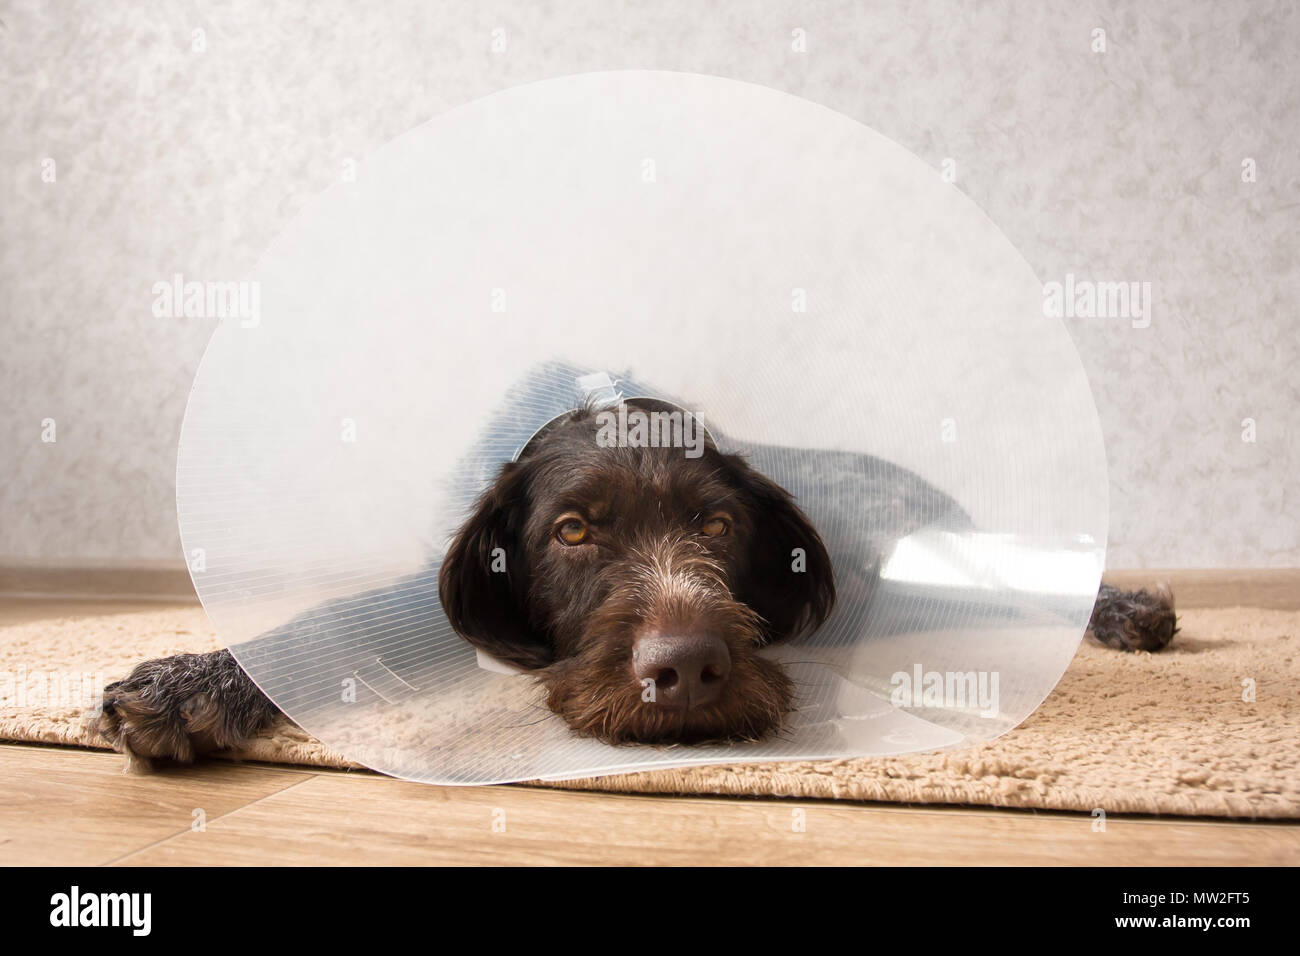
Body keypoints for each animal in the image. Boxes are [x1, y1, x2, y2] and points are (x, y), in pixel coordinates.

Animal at [91, 398, 1180, 770]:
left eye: (717, 525)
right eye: (571, 531)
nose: (689, 668)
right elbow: (333, 622)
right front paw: (196, 678)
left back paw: (1127, 608)